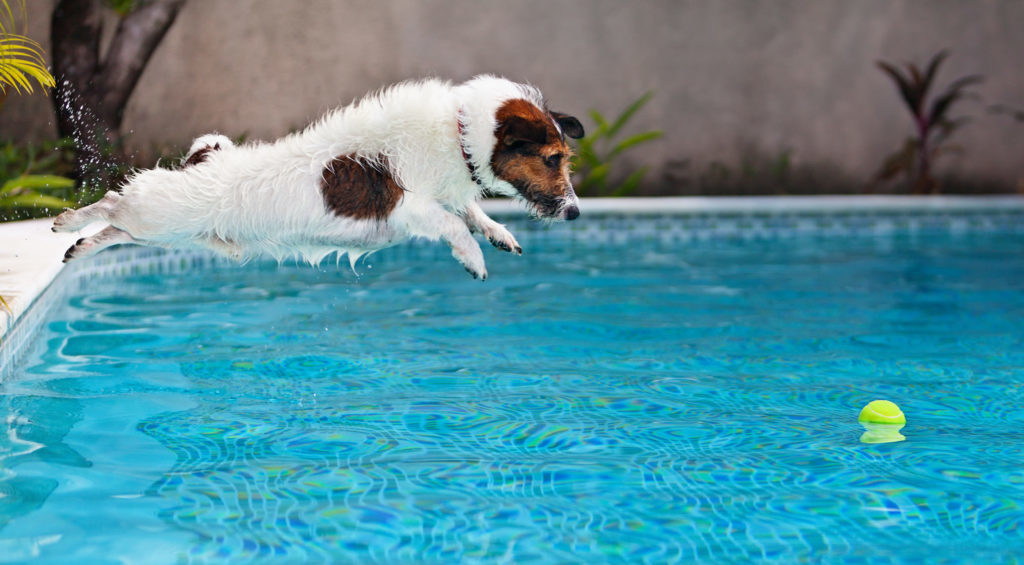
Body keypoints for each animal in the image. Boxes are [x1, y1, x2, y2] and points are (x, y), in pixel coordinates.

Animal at [54, 74, 585, 278]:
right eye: (552, 159)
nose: (577, 212)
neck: (458, 133)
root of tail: (201, 161)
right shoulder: (409, 206)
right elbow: (453, 223)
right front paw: (473, 258)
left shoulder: (447, 193)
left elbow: (471, 210)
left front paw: (498, 233)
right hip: (158, 213)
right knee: (112, 204)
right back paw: (67, 222)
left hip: (172, 234)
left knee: (115, 231)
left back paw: (80, 245)